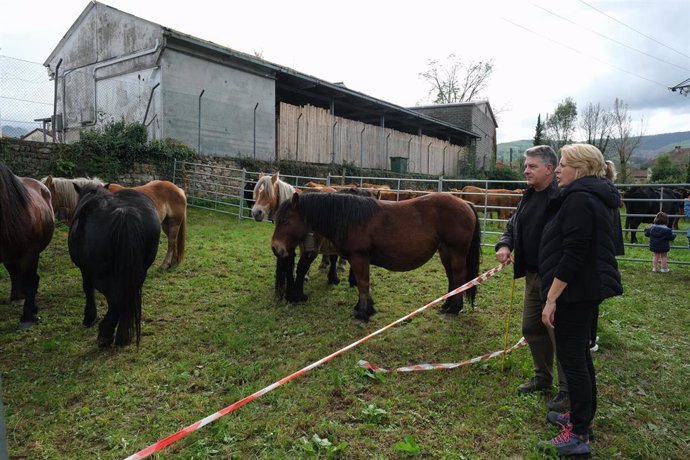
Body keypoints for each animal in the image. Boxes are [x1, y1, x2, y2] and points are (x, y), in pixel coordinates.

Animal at [69, 182, 161, 344]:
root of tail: (124, 213)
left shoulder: (85, 270)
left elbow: (88, 289)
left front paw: (89, 317)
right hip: (139, 271)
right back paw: (123, 335)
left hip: (101, 274)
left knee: (115, 300)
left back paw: (106, 334)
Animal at [268, 190, 478, 320]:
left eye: (286, 220)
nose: (276, 248)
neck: (349, 217)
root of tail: (466, 203)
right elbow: (363, 283)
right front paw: (364, 307)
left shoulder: (359, 257)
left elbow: (362, 282)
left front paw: (362, 312)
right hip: (445, 252)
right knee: (452, 278)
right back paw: (447, 305)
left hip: (456, 252)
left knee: (459, 276)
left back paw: (454, 309)